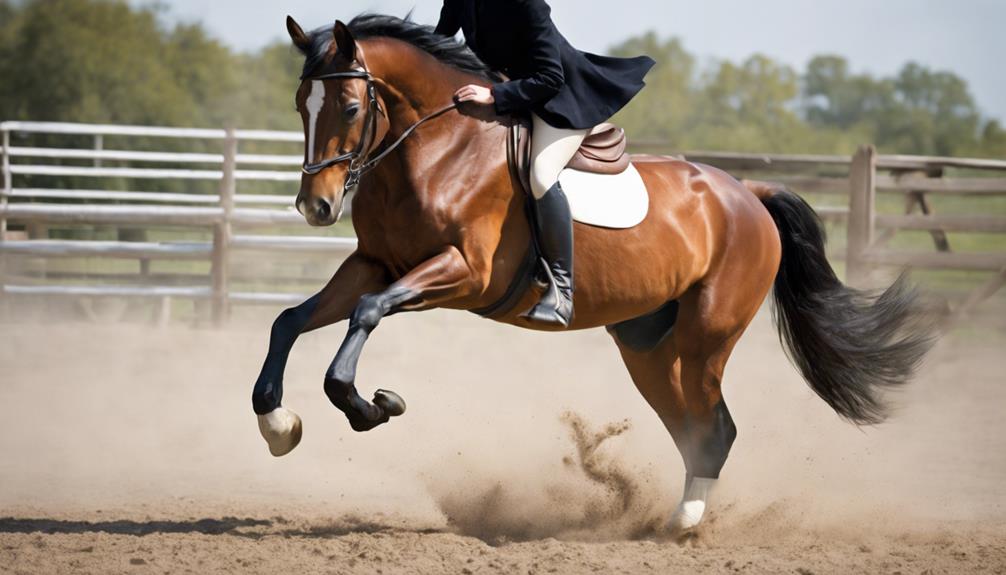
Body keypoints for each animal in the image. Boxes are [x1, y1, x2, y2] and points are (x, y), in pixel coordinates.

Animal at [253, 14, 933, 534]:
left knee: (715, 425)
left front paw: (373, 406)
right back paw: (667, 515)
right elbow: (291, 319)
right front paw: (279, 424)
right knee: (692, 427)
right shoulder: (374, 264)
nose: (316, 207)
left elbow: (367, 313)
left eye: (348, 106)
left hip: (708, 337)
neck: (436, 150)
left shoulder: (463, 273)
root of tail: (748, 194)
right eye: (299, 105)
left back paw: (682, 525)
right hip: (648, 348)